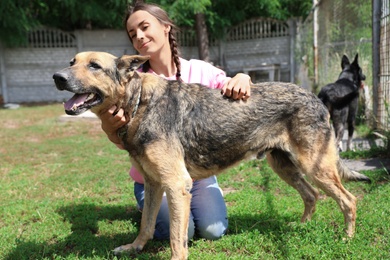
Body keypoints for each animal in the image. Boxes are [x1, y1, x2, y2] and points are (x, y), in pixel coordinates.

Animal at [53, 51, 370, 258]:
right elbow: (146, 225)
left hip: (316, 168)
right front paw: (134, 248)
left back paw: (347, 239)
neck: (140, 101)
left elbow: (176, 240)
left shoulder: (176, 185)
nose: (57, 77)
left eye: (94, 66)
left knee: (349, 200)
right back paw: (301, 227)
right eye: (72, 63)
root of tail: (315, 97)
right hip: (284, 166)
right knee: (311, 195)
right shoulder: (155, 184)